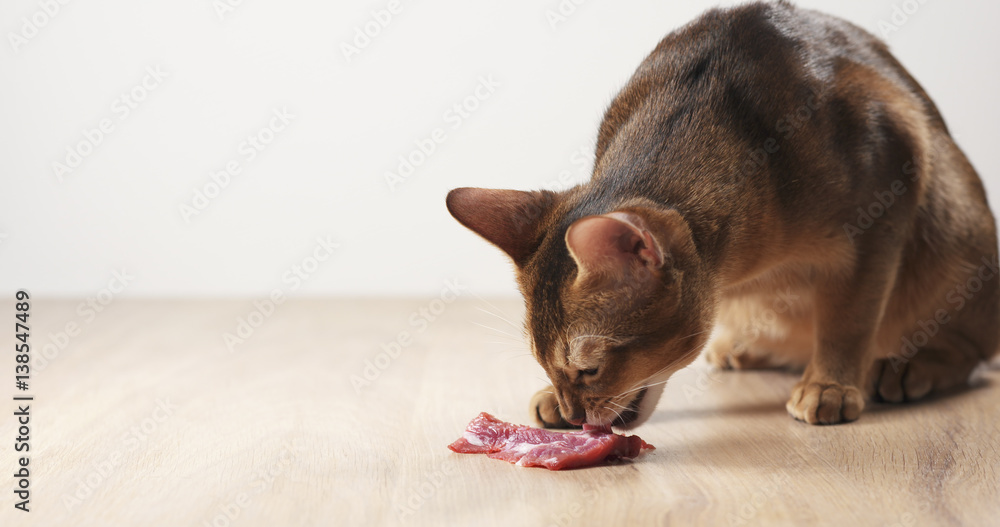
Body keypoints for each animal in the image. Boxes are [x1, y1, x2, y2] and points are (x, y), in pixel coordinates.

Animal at [448, 1, 1000, 428]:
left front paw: (831, 385)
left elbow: (850, 318)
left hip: (953, 220)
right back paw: (746, 348)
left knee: (970, 346)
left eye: (590, 370)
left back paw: (908, 367)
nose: (575, 416)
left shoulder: (889, 183)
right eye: (544, 364)